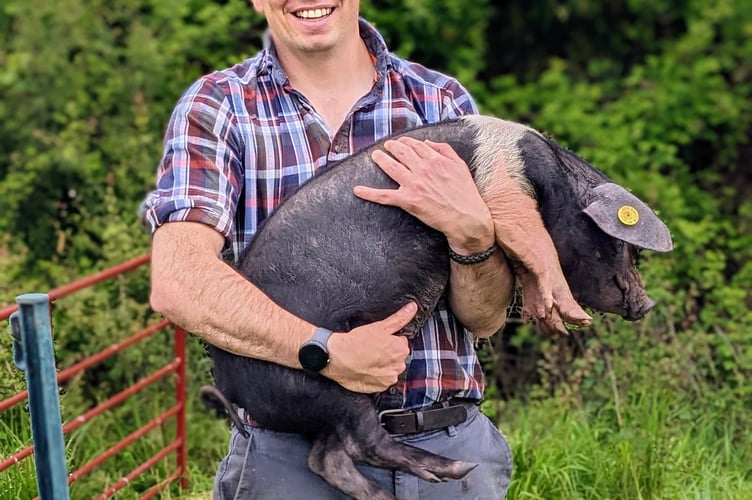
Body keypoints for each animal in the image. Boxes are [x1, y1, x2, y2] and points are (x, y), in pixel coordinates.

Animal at [204, 115, 668, 498]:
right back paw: (453, 469)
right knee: (361, 443)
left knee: (328, 456)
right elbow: (532, 241)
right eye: (621, 246)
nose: (647, 304)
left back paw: (391, 493)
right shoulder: (506, 189)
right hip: (326, 383)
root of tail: (228, 380)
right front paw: (571, 315)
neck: (556, 180)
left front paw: (547, 314)